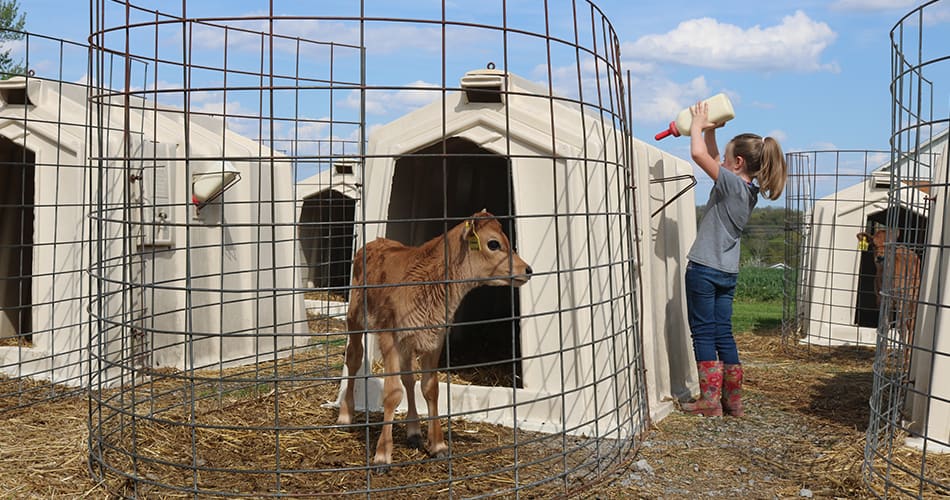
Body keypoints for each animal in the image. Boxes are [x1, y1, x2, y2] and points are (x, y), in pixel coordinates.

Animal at [340, 209, 536, 470]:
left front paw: (439, 445)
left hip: (408, 342)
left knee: (409, 378)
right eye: (493, 243)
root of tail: (376, 242)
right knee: (354, 359)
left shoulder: (435, 337)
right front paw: (382, 455)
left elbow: (429, 388)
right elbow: (392, 393)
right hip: (355, 318)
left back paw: (414, 432)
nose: (527, 270)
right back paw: (345, 416)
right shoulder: (389, 336)